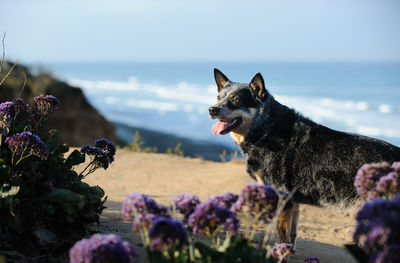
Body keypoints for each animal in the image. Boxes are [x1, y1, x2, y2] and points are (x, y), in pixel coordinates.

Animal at [209, 68, 400, 250]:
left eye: (236, 100)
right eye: (218, 97)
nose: (212, 109)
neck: (265, 129)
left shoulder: (282, 197)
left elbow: (281, 231)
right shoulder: (294, 202)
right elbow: (292, 234)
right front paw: (287, 252)